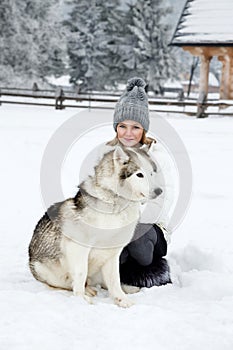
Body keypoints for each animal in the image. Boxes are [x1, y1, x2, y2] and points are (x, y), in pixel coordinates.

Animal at [28, 146, 162, 308]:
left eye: (152, 173)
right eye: (140, 175)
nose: (159, 191)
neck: (117, 203)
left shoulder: (113, 253)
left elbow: (114, 280)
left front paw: (121, 299)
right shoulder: (78, 248)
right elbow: (80, 274)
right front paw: (80, 299)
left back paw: (126, 288)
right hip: (45, 270)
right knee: (66, 284)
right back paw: (86, 290)